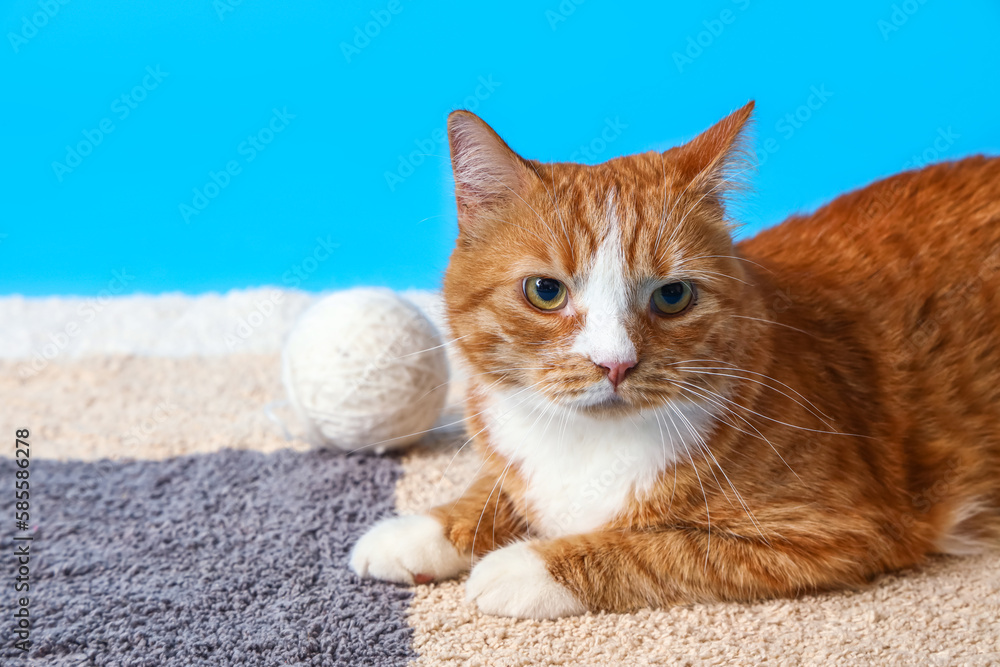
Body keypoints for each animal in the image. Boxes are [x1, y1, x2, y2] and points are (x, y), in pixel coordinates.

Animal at [352, 102, 1000, 620]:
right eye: (545, 291)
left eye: (672, 296)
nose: (614, 364)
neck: (586, 446)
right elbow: (493, 490)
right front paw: (422, 530)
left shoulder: (834, 531)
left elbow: (664, 547)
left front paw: (528, 565)